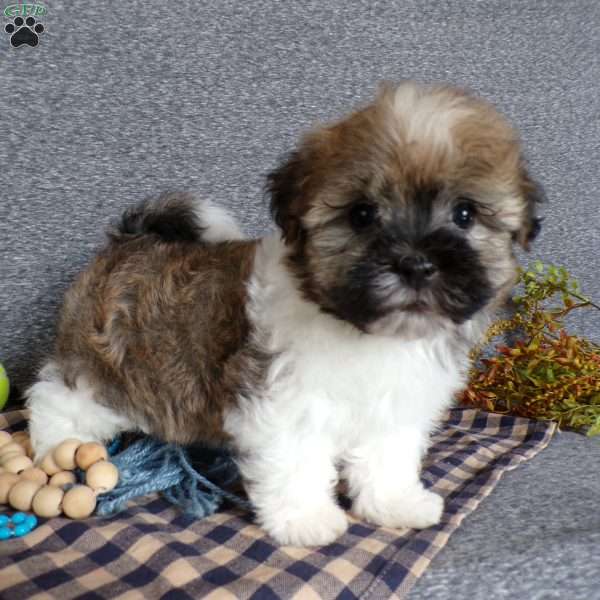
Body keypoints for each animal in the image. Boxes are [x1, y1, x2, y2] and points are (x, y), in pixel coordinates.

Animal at [25, 82, 540, 548]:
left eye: (465, 213)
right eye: (362, 215)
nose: (415, 262)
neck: (365, 332)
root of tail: (130, 240)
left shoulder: (393, 406)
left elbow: (386, 456)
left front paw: (394, 503)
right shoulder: (283, 400)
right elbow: (297, 461)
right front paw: (305, 519)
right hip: (103, 366)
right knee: (58, 396)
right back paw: (58, 445)